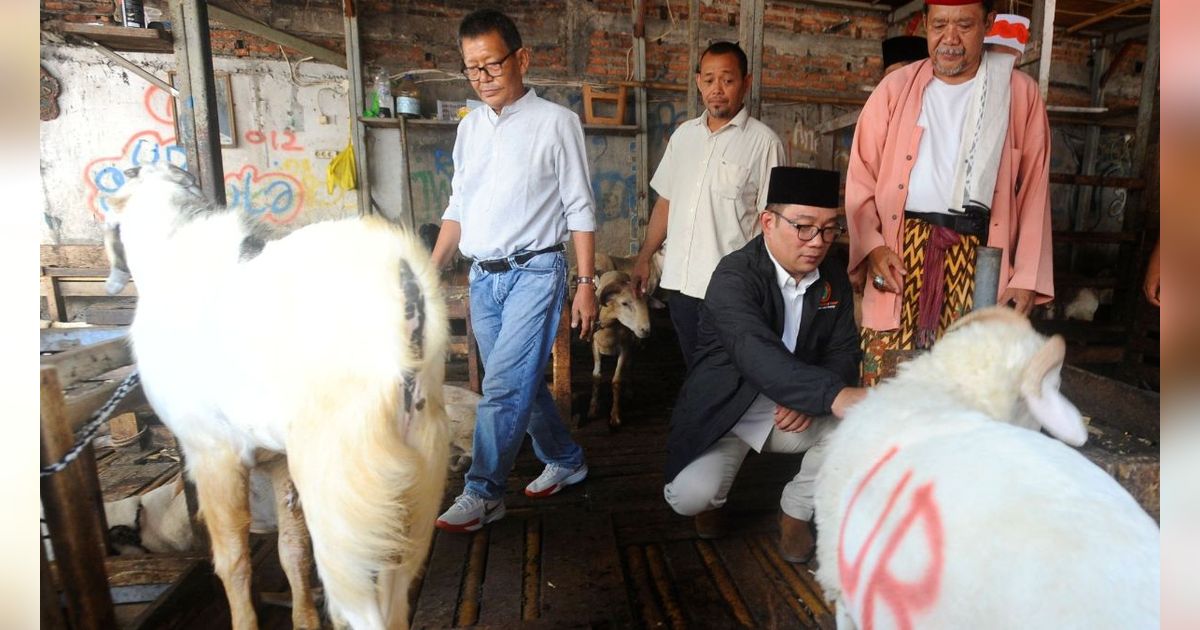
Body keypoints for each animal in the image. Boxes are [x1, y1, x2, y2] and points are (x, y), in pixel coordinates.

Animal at [100, 163, 451, 628]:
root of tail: (402, 274)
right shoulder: (279, 462)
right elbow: (292, 551)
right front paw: (303, 618)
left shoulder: (210, 451)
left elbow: (232, 559)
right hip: (416, 475)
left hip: (339, 486)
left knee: (363, 609)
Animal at [588, 270, 652, 427]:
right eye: (624, 303)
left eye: (647, 303)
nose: (646, 330)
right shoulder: (595, 346)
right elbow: (596, 376)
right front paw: (592, 410)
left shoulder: (625, 348)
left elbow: (616, 381)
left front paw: (615, 416)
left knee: (630, 365)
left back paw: (629, 391)